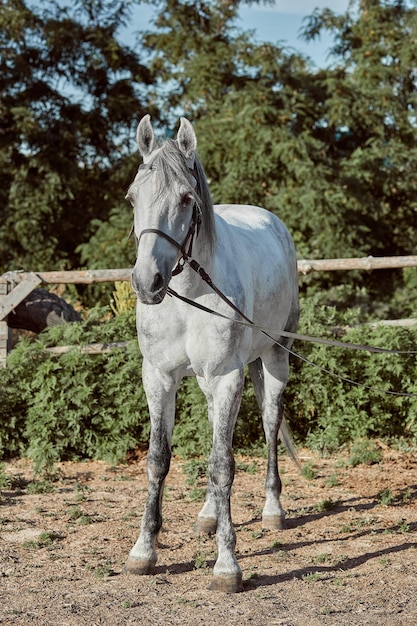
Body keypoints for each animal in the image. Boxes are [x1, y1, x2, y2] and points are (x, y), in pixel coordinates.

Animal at [123, 116, 300, 588]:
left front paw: (227, 564)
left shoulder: (227, 377)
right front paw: (143, 551)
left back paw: (273, 510)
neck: (189, 296)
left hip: (275, 358)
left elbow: (223, 464)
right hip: (207, 383)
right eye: (132, 197)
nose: (147, 282)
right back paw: (207, 514)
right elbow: (158, 460)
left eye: (187, 199)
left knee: (270, 422)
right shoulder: (159, 377)